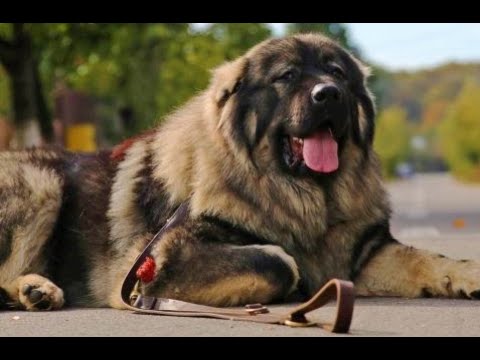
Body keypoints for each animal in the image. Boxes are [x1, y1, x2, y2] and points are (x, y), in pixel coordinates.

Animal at [0, 32, 480, 310]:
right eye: (287, 76)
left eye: (338, 74)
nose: (329, 94)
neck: (299, 194)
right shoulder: (165, 259)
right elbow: (278, 261)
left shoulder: (361, 254)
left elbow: (422, 257)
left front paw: (466, 273)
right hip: (42, 184)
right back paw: (33, 290)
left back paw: (36, 291)